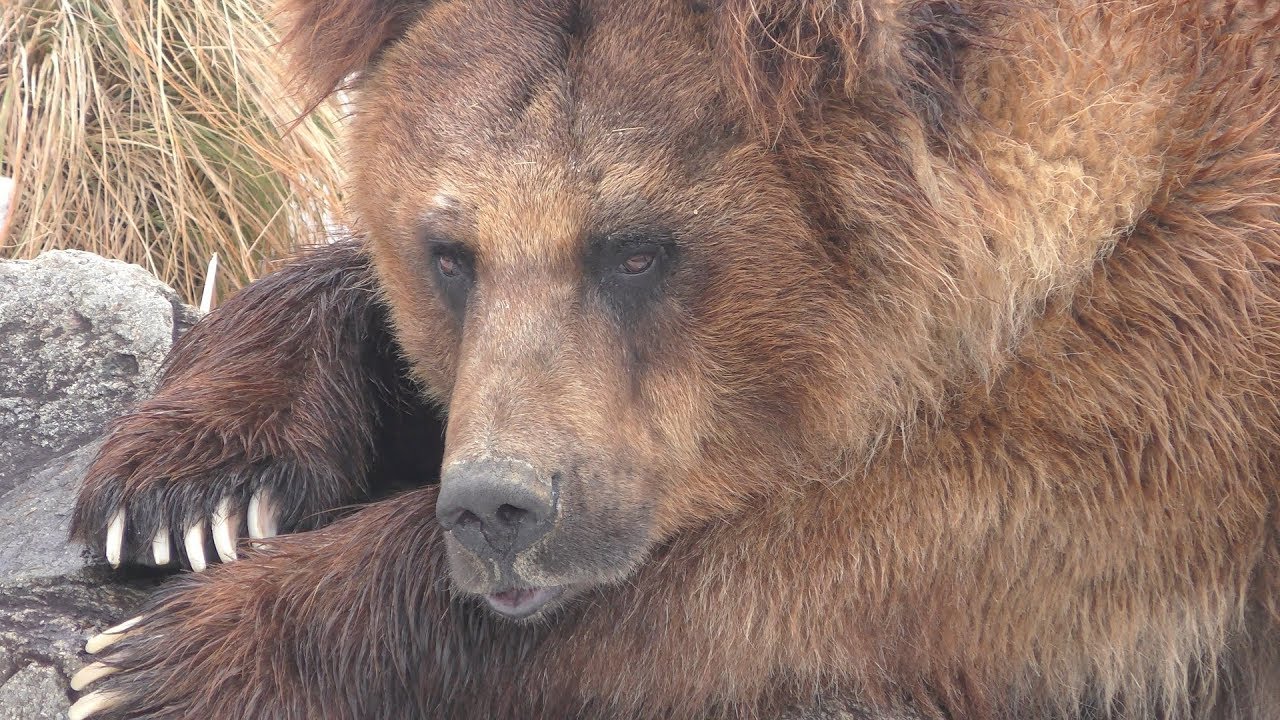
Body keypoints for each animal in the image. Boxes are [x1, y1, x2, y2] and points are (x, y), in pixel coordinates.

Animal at [66, 0, 1280, 718]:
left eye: (638, 248)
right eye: (449, 252)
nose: (495, 506)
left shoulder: (1135, 416)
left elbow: (757, 582)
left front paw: (152, 663)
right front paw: (185, 495)